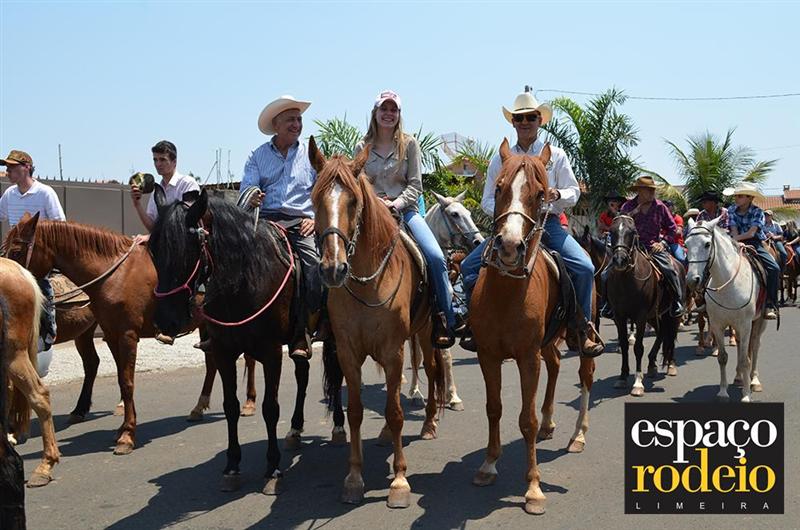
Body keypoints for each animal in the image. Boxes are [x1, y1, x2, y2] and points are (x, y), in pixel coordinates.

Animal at [148, 187, 344, 494]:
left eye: (188, 250)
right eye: (152, 250)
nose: (166, 320)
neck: (243, 281)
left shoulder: (271, 353)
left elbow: (270, 408)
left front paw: (273, 468)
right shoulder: (224, 352)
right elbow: (230, 406)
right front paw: (232, 466)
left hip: (335, 336)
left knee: (336, 375)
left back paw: (338, 427)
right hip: (299, 342)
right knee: (302, 375)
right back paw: (295, 429)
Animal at [309, 137, 446, 508]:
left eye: (354, 201)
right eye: (314, 199)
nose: (333, 269)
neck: (367, 282)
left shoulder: (394, 350)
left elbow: (397, 412)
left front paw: (399, 481)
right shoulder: (348, 353)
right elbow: (356, 411)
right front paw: (354, 478)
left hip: (425, 332)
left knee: (431, 370)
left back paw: (429, 424)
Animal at [469, 139, 594, 515]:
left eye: (541, 194)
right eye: (498, 188)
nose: (510, 246)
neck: (506, 293)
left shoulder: (526, 357)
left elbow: (527, 420)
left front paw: (534, 488)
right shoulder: (488, 355)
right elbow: (494, 408)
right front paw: (488, 464)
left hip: (581, 339)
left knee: (585, 376)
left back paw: (577, 435)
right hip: (547, 344)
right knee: (555, 365)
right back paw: (551, 423)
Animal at [606, 215, 681, 396]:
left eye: (632, 232)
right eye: (611, 231)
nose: (620, 260)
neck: (626, 280)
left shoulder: (640, 317)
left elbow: (638, 348)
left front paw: (638, 383)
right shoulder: (619, 316)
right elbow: (624, 344)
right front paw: (622, 377)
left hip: (672, 315)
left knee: (671, 335)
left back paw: (671, 365)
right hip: (654, 315)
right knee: (662, 332)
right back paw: (652, 364)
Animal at [685, 217, 767, 401]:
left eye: (707, 244)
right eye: (686, 244)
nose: (692, 279)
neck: (728, 282)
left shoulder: (745, 325)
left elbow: (745, 360)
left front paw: (746, 395)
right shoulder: (718, 324)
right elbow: (723, 357)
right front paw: (723, 392)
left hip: (759, 321)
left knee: (755, 347)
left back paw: (754, 381)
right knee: (742, 346)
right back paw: (738, 377)